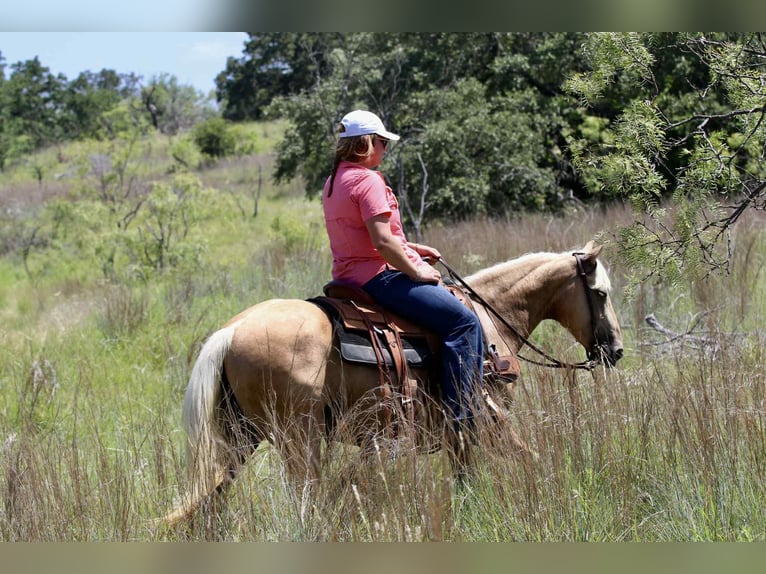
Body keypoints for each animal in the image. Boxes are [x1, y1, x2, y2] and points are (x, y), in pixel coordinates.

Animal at [158, 240, 623, 526]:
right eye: (599, 293)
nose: (615, 350)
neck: (490, 322)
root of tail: (232, 330)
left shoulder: (454, 435)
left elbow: (465, 480)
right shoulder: (487, 420)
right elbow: (528, 460)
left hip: (239, 439)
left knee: (209, 498)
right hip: (299, 439)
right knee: (305, 500)